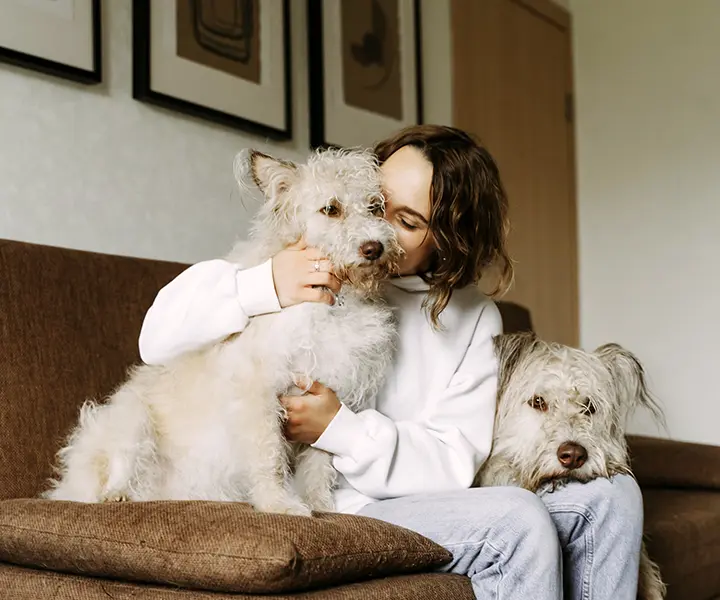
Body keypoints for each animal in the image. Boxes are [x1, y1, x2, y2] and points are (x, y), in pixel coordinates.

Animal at [43, 149, 404, 516]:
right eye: (331, 209)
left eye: (375, 207)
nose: (374, 248)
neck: (335, 300)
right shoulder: (258, 392)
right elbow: (269, 457)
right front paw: (278, 504)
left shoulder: (331, 397)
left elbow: (319, 466)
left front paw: (322, 507)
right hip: (128, 416)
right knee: (116, 465)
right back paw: (116, 493)